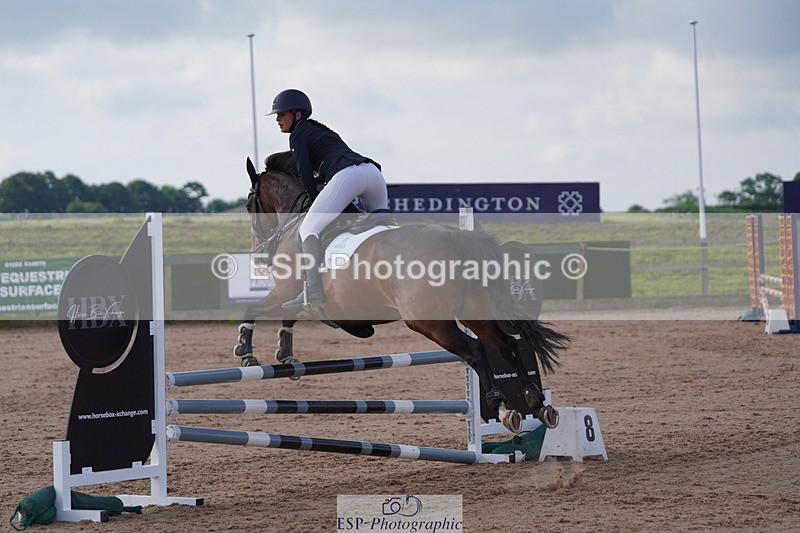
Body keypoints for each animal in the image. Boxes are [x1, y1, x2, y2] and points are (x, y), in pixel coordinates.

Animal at [233, 157, 570, 432]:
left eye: (249, 205)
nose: (257, 254)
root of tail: (456, 237)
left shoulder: (285, 292)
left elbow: (253, 310)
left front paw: (246, 351)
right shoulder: (293, 298)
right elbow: (288, 316)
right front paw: (285, 352)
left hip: (429, 322)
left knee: (475, 352)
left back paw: (501, 408)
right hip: (474, 310)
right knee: (507, 346)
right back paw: (538, 403)